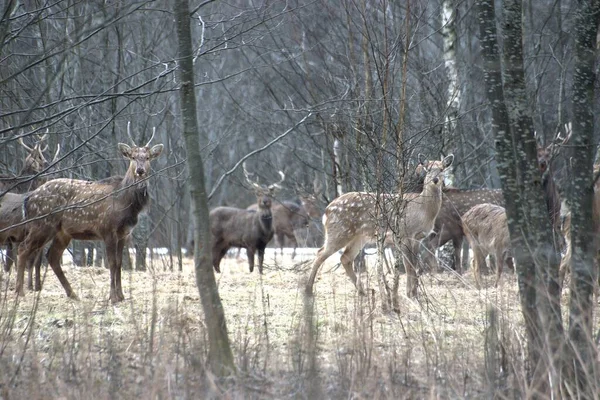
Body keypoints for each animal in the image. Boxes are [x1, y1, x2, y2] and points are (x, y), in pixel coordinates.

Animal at [14, 123, 163, 302]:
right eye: (133, 157)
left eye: (147, 157)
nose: (140, 170)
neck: (126, 203)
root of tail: (29, 198)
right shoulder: (107, 229)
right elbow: (112, 263)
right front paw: (113, 297)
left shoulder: (124, 233)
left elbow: (120, 263)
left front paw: (121, 296)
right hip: (41, 224)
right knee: (23, 248)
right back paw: (19, 292)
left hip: (62, 232)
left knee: (52, 256)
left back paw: (72, 294)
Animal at [304, 153, 454, 296]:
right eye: (427, 169)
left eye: (442, 169)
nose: (435, 180)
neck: (423, 210)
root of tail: (326, 211)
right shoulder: (404, 234)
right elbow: (409, 266)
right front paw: (409, 294)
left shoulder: (418, 238)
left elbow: (414, 265)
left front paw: (415, 293)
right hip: (339, 232)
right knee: (320, 253)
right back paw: (308, 290)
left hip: (358, 237)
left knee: (345, 258)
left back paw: (362, 291)